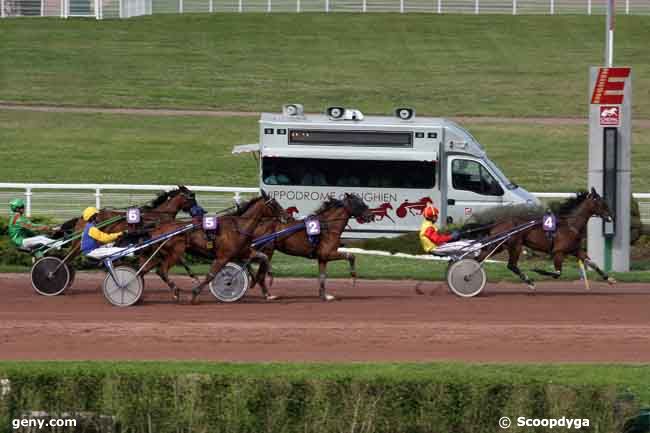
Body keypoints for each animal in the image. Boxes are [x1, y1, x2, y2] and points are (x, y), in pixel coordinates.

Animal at [137, 191, 286, 302]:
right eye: (274, 204)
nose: (286, 216)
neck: (238, 227)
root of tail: (157, 228)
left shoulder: (242, 252)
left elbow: (263, 257)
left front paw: (268, 285)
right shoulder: (223, 257)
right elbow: (211, 275)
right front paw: (195, 293)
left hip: (160, 254)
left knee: (144, 270)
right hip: (175, 253)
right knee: (161, 271)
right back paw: (175, 291)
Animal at [470, 187, 612, 288]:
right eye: (601, 203)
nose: (610, 217)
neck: (570, 225)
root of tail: (497, 223)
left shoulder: (576, 250)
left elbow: (593, 264)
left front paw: (609, 278)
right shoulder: (558, 252)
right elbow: (557, 273)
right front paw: (538, 270)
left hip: (500, 246)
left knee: (481, 259)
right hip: (515, 245)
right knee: (511, 265)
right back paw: (529, 281)